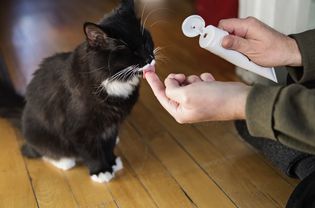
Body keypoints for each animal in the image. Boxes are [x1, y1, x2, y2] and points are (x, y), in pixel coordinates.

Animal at [20, 0, 156, 182]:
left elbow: (108, 144)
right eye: (131, 51)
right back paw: (64, 161)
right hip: (40, 134)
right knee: (35, 150)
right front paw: (101, 170)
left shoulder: (112, 124)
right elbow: (91, 152)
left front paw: (112, 162)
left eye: (145, 42)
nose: (150, 58)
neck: (112, 80)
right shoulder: (79, 129)